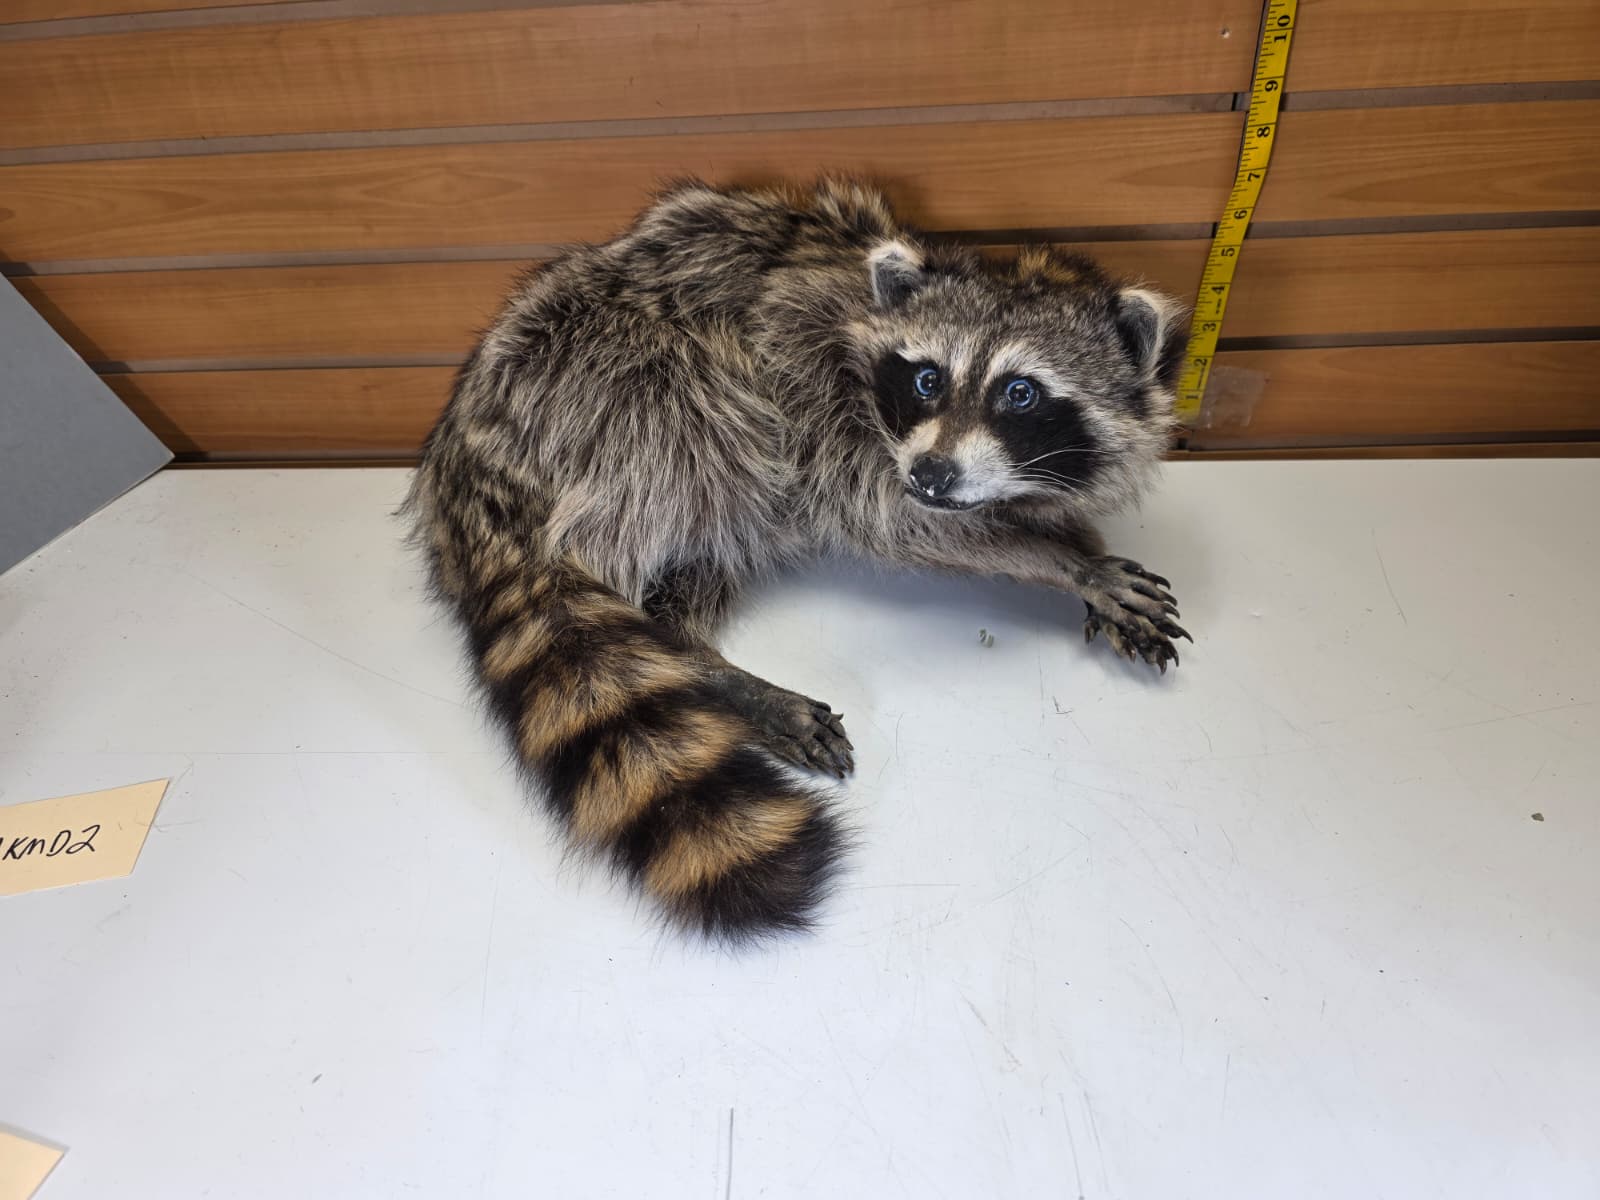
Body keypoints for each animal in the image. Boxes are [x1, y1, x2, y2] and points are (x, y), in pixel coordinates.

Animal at [406, 179, 1190, 941]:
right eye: (928, 379)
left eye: (1019, 393)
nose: (933, 474)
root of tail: (463, 473)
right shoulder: (823, 403)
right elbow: (896, 522)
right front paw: (1055, 559)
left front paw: (1073, 539)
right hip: (611, 388)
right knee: (701, 445)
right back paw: (701, 663)